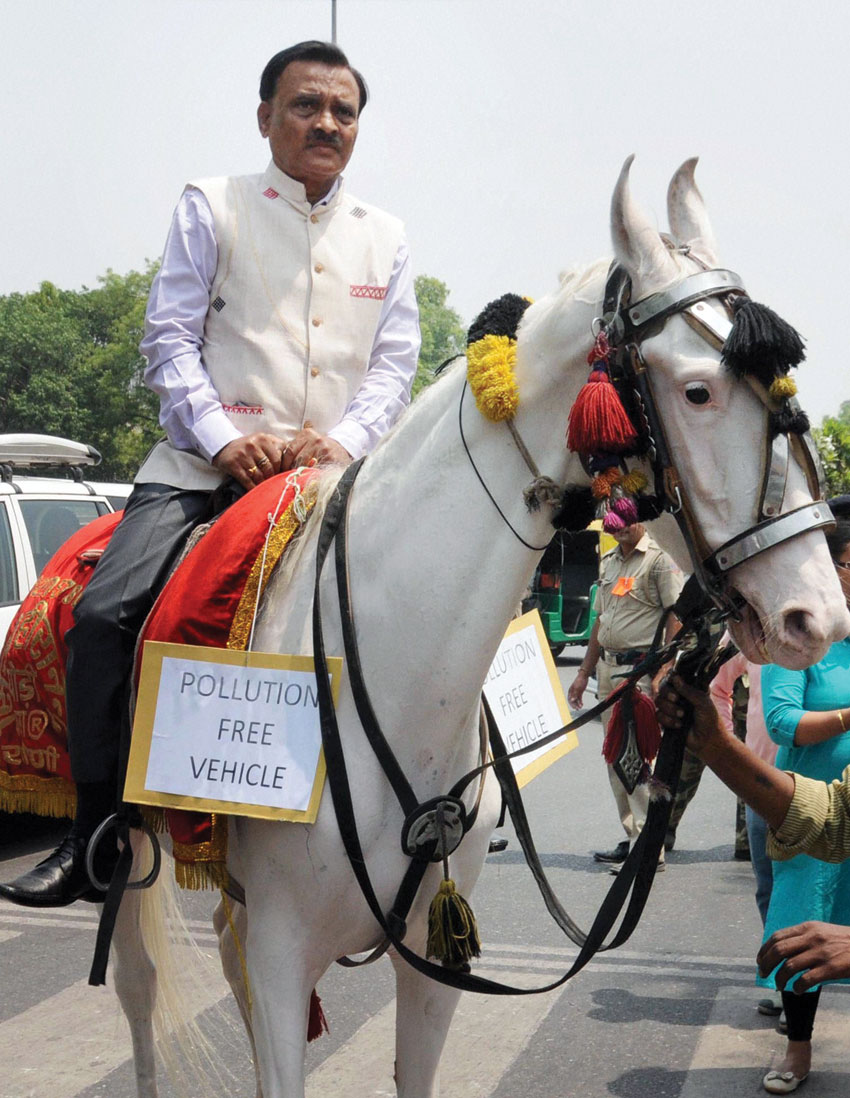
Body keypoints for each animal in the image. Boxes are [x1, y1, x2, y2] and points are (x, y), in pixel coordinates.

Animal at [111, 160, 850, 1098]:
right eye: (698, 390)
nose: (816, 613)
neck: (386, 672)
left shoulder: (432, 957)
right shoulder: (282, 952)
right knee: (139, 984)